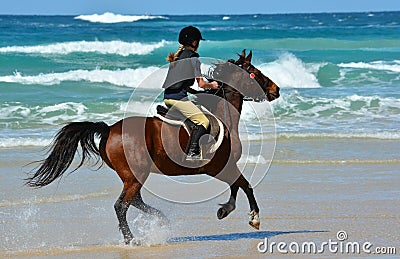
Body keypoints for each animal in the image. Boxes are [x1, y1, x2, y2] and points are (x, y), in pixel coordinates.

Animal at [25, 50, 282, 246]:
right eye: (255, 73)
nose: (276, 90)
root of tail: (109, 129)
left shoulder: (223, 167)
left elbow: (237, 186)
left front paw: (225, 210)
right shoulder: (219, 166)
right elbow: (245, 185)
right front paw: (253, 218)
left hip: (133, 175)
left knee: (134, 201)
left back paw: (161, 220)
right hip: (135, 174)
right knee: (121, 205)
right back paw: (132, 239)